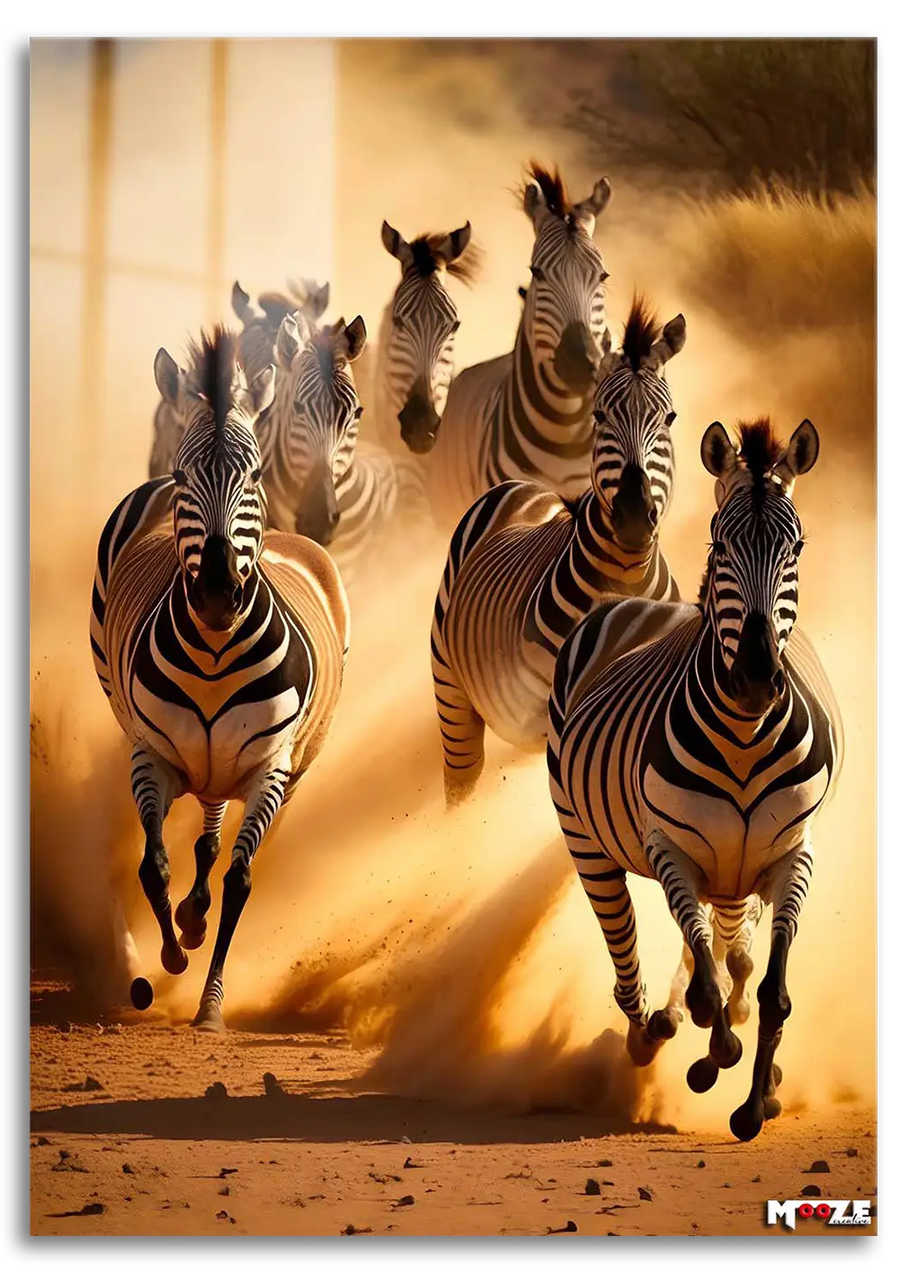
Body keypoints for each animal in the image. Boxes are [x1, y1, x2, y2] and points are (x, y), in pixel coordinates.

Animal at [91, 326, 350, 1032]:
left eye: (255, 474)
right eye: (185, 476)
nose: (213, 595)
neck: (211, 655)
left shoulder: (269, 768)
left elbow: (239, 879)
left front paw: (210, 1007)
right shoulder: (150, 754)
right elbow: (153, 866)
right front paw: (170, 959)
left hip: (282, 765)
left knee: (214, 837)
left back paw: (197, 916)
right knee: (201, 832)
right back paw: (186, 922)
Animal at [431, 296, 685, 805]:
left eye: (668, 419)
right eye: (600, 417)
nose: (632, 516)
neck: (627, 572)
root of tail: (526, 487)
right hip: (451, 688)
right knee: (463, 776)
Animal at [547, 416, 843, 1141]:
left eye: (795, 546)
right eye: (720, 543)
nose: (757, 676)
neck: (743, 733)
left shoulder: (793, 854)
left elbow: (769, 990)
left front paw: (756, 1102)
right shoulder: (671, 850)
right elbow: (710, 990)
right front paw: (719, 1057)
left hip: (734, 869)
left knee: (732, 953)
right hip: (590, 845)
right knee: (629, 950)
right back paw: (649, 1035)